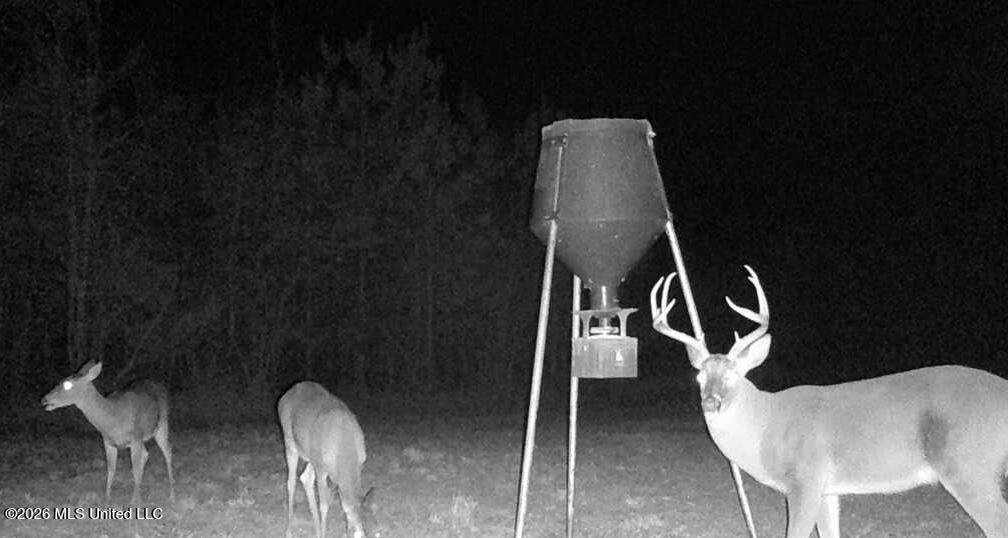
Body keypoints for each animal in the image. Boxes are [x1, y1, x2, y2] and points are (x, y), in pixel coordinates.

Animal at [41, 360, 175, 505]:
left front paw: (135, 502)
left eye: (67, 384)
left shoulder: (135, 437)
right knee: (146, 454)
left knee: (167, 451)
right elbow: (111, 470)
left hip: (161, 424)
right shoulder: (108, 442)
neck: (112, 420)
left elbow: (135, 468)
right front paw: (107, 500)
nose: (44, 399)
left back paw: (172, 492)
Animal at [278, 381, 379, 538]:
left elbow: (344, 505)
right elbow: (324, 505)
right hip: (290, 443)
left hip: (311, 455)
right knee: (291, 481)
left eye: (378, 533)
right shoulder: (321, 468)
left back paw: (316, 529)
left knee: (305, 477)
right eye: (361, 535)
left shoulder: (352, 469)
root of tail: (285, 395)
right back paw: (289, 530)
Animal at [650, 265, 1008, 537]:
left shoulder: (805, 477)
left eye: (734, 375)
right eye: (699, 377)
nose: (711, 403)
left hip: (968, 464)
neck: (766, 424)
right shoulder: (828, 488)